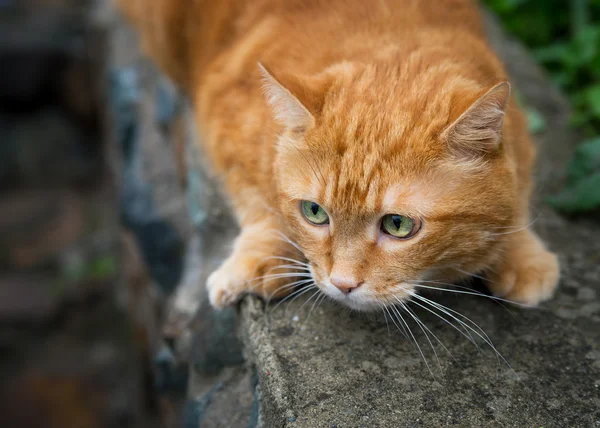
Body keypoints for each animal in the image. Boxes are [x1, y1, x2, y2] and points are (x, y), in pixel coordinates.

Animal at [117, 0, 556, 310]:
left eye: (398, 225)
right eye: (314, 213)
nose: (343, 284)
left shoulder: (520, 131)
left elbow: (518, 194)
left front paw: (521, 255)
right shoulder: (220, 117)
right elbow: (258, 201)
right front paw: (259, 259)